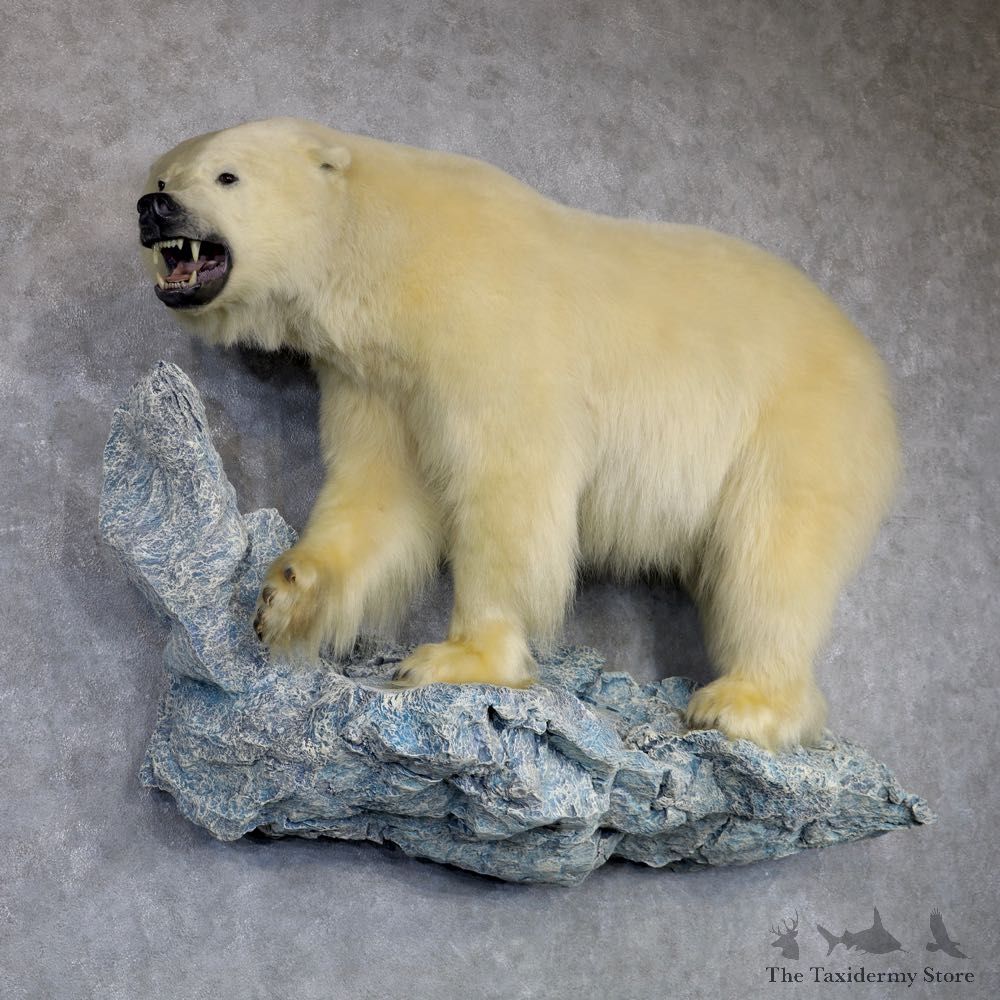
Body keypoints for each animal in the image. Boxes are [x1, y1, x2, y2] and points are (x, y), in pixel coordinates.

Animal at [136, 116, 900, 750]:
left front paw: (455, 658)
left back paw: (741, 704)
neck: (391, 256)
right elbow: (380, 488)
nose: (153, 208)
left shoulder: (488, 328)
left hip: (797, 426)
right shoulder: (378, 382)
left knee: (772, 560)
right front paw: (288, 594)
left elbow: (508, 488)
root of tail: (871, 368)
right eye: (165, 176)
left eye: (227, 176)